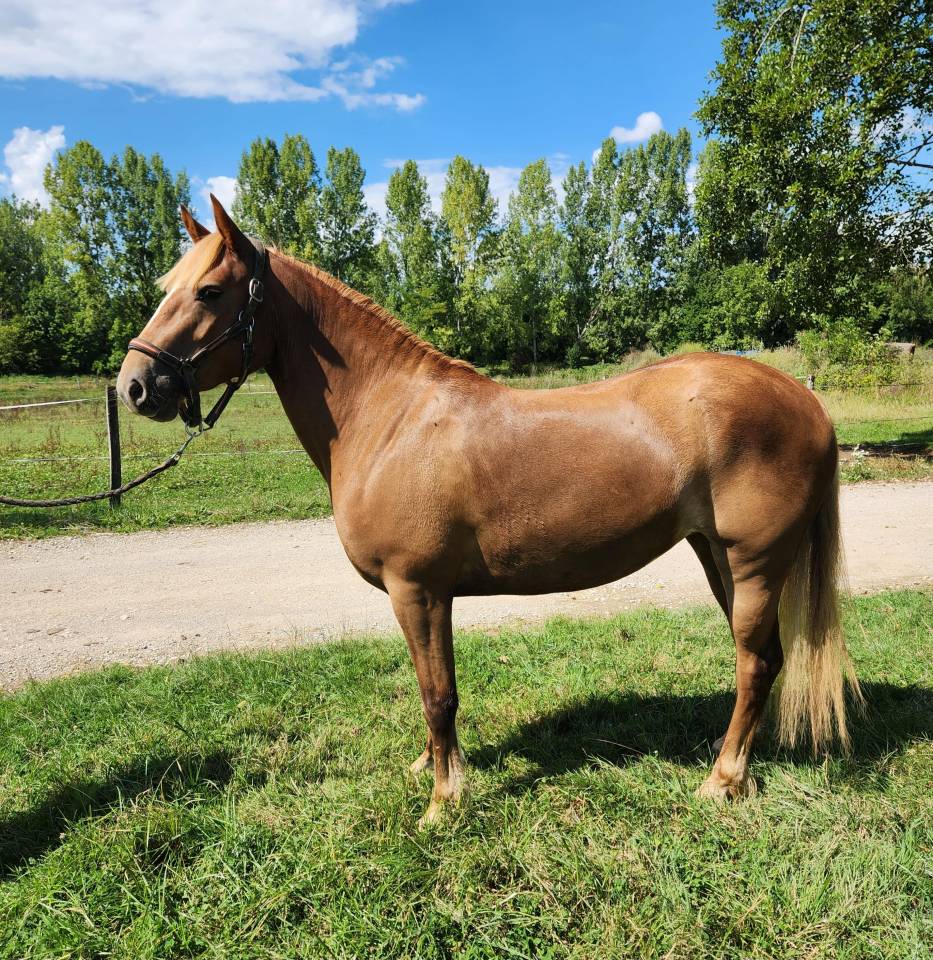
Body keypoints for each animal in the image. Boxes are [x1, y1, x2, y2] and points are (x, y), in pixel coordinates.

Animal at [117, 196, 861, 825]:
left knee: (755, 661)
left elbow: (437, 692)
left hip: (753, 562)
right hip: (715, 556)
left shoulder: (416, 589)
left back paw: (722, 779)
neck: (390, 419)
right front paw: (429, 768)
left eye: (210, 292)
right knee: (763, 660)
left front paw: (444, 803)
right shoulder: (426, 595)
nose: (136, 385)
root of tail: (803, 398)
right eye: (166, 288)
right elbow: (430, 687)